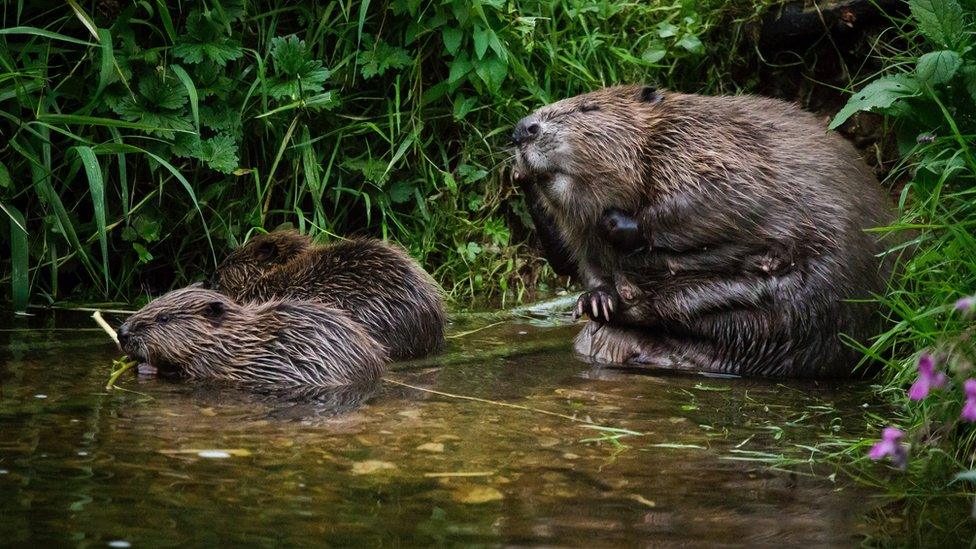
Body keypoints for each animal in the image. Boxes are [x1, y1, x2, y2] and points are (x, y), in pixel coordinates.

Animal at [510, 84, 900, 376]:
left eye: (587, 108)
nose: (522, 128)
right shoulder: (579, 232)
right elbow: (582, 263)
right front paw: (596, 299)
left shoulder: (713, 147)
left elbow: (720, 192)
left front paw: (618, 224)